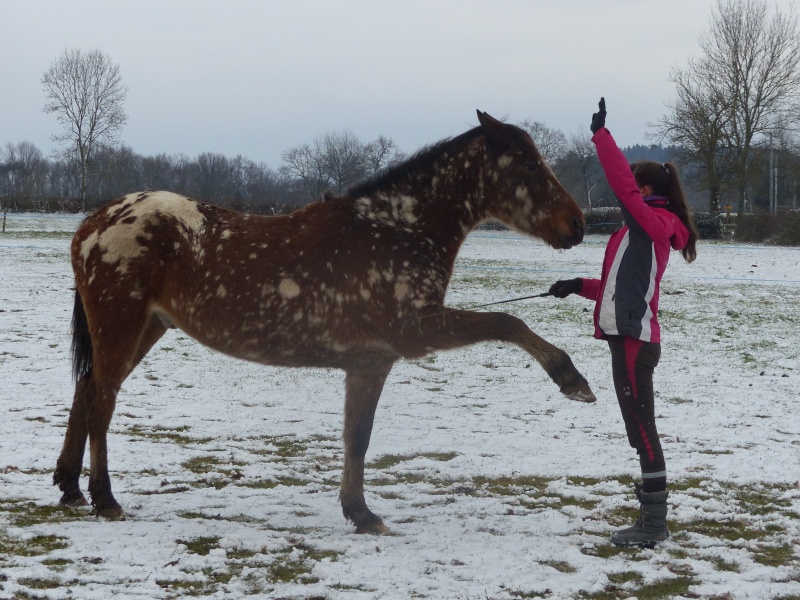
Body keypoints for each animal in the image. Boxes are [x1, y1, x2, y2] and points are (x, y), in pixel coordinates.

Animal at [54, 111, 592, 536]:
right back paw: (104, 498)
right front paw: (571, 378)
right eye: (528, 164)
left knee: (86, 389)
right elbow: (508, 320)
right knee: (102, 400)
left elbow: (358, 437)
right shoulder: (416, 332)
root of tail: (93, 223)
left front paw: (359, 513)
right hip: (122, 326)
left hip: (146, 328)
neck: (396, 230)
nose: (578, 224)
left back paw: (70, 488)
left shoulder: (371, 362)